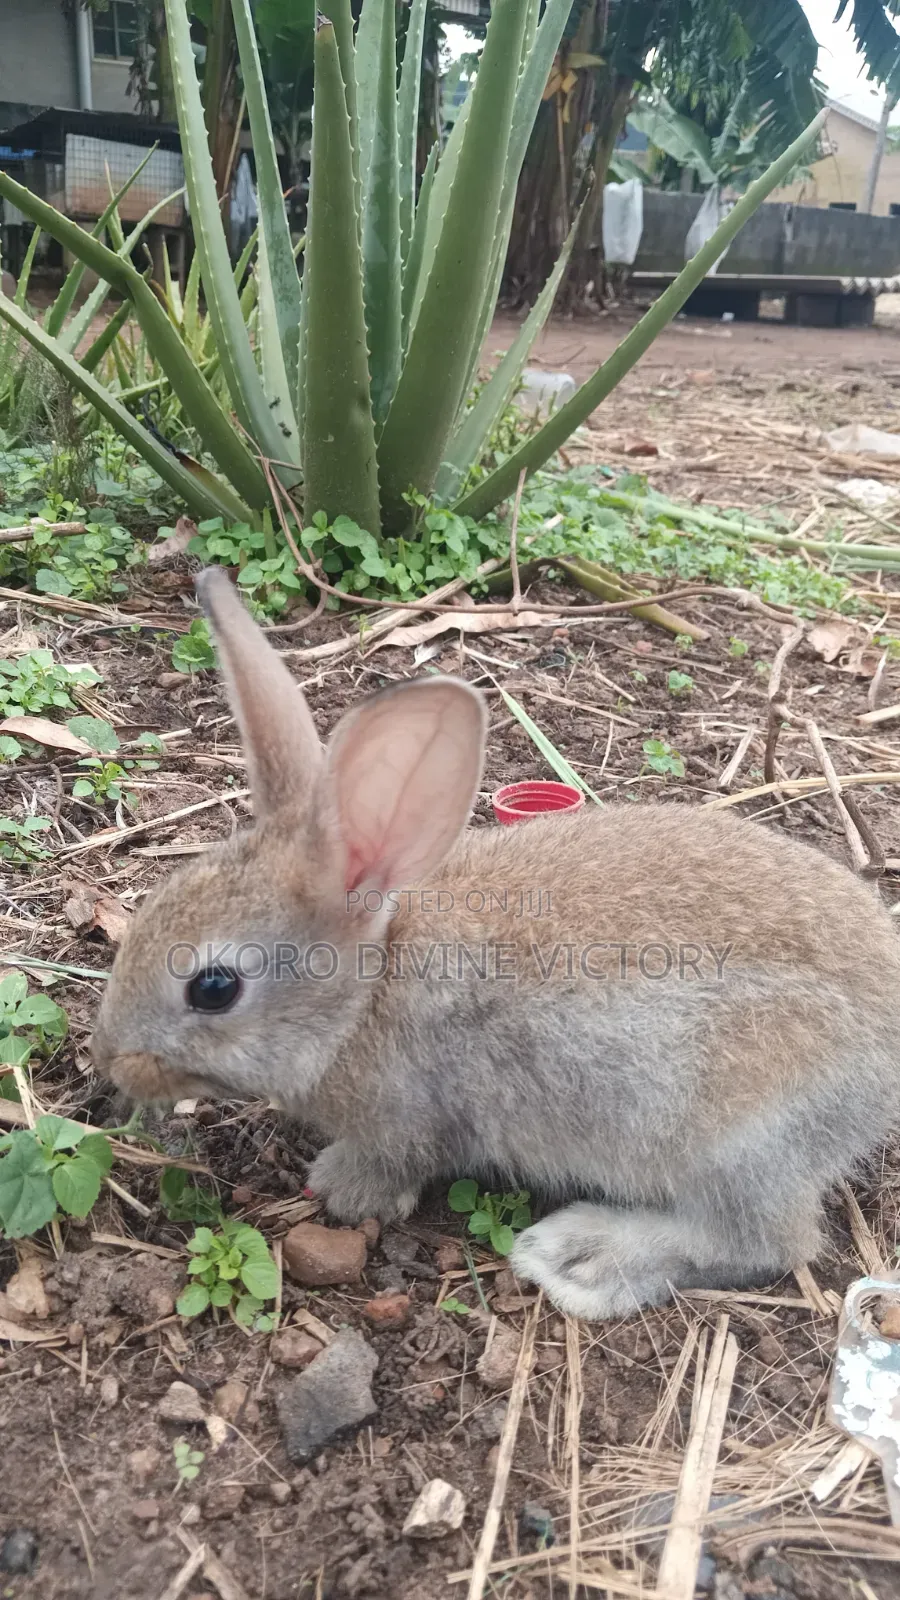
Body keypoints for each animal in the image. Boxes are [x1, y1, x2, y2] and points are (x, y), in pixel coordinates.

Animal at [92, 568, 900, 1320]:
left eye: (214, 988)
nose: (114, 1062)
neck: (366, 991)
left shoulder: (407, 1121)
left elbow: (390, 1167)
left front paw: (339, 1188)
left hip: (738, 1140)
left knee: (769, 1239)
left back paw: (579, 1256)